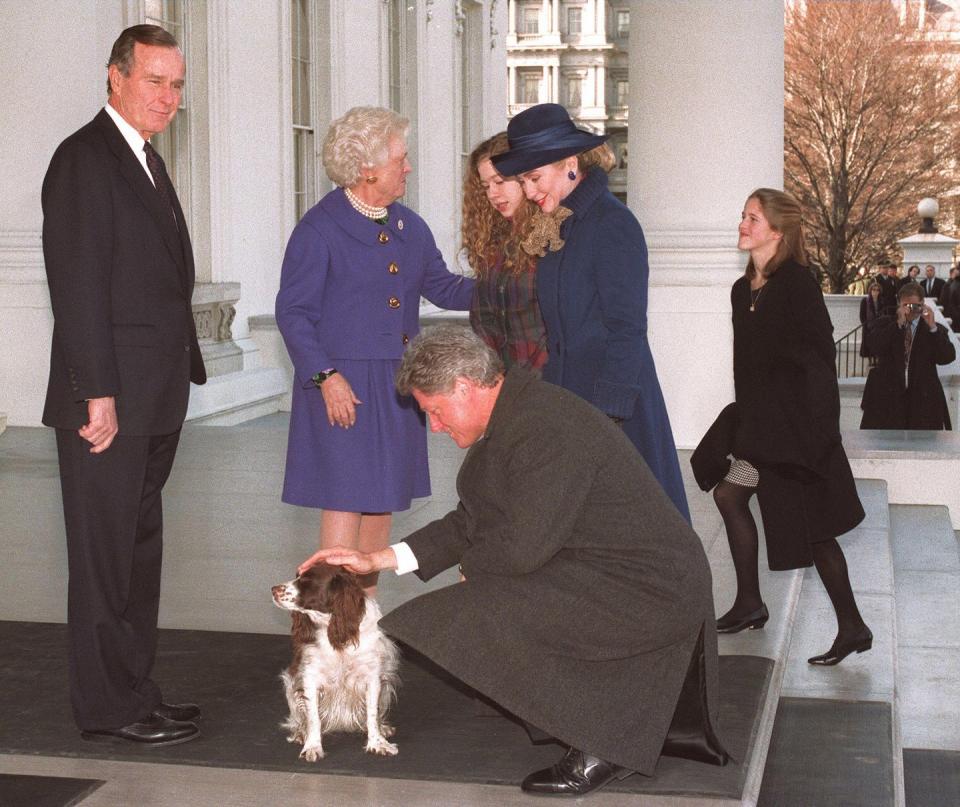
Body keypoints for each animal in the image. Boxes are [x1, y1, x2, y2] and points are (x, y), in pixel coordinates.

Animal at [272, 564, 400, 760]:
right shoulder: (310, 678)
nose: (273, 589)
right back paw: (301, 733)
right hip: (291, 685)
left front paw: (377, 743)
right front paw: (312, 746)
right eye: (297, 576)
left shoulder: (372, 678)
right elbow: (313, 718)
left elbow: (372, 714)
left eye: (306, 580)